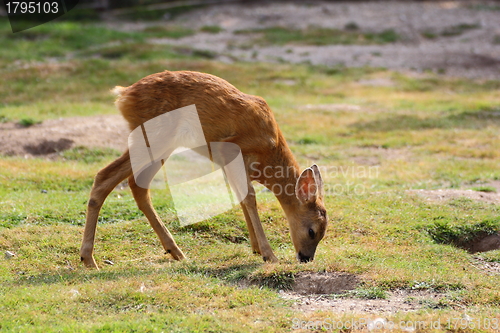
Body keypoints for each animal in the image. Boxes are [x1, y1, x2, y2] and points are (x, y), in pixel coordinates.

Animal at [79, 68, 328, 268]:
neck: (270, 147)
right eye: (312, 231)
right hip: (154, 139)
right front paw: (269, 255)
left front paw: (256, 248)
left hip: (161, 146)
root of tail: (124, 94)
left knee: (137, 185)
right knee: (105, 177)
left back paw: (176, 252)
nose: (306, 258)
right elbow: (249, 197)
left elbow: (241, 198)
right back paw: (89, 259)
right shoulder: (231, 151)